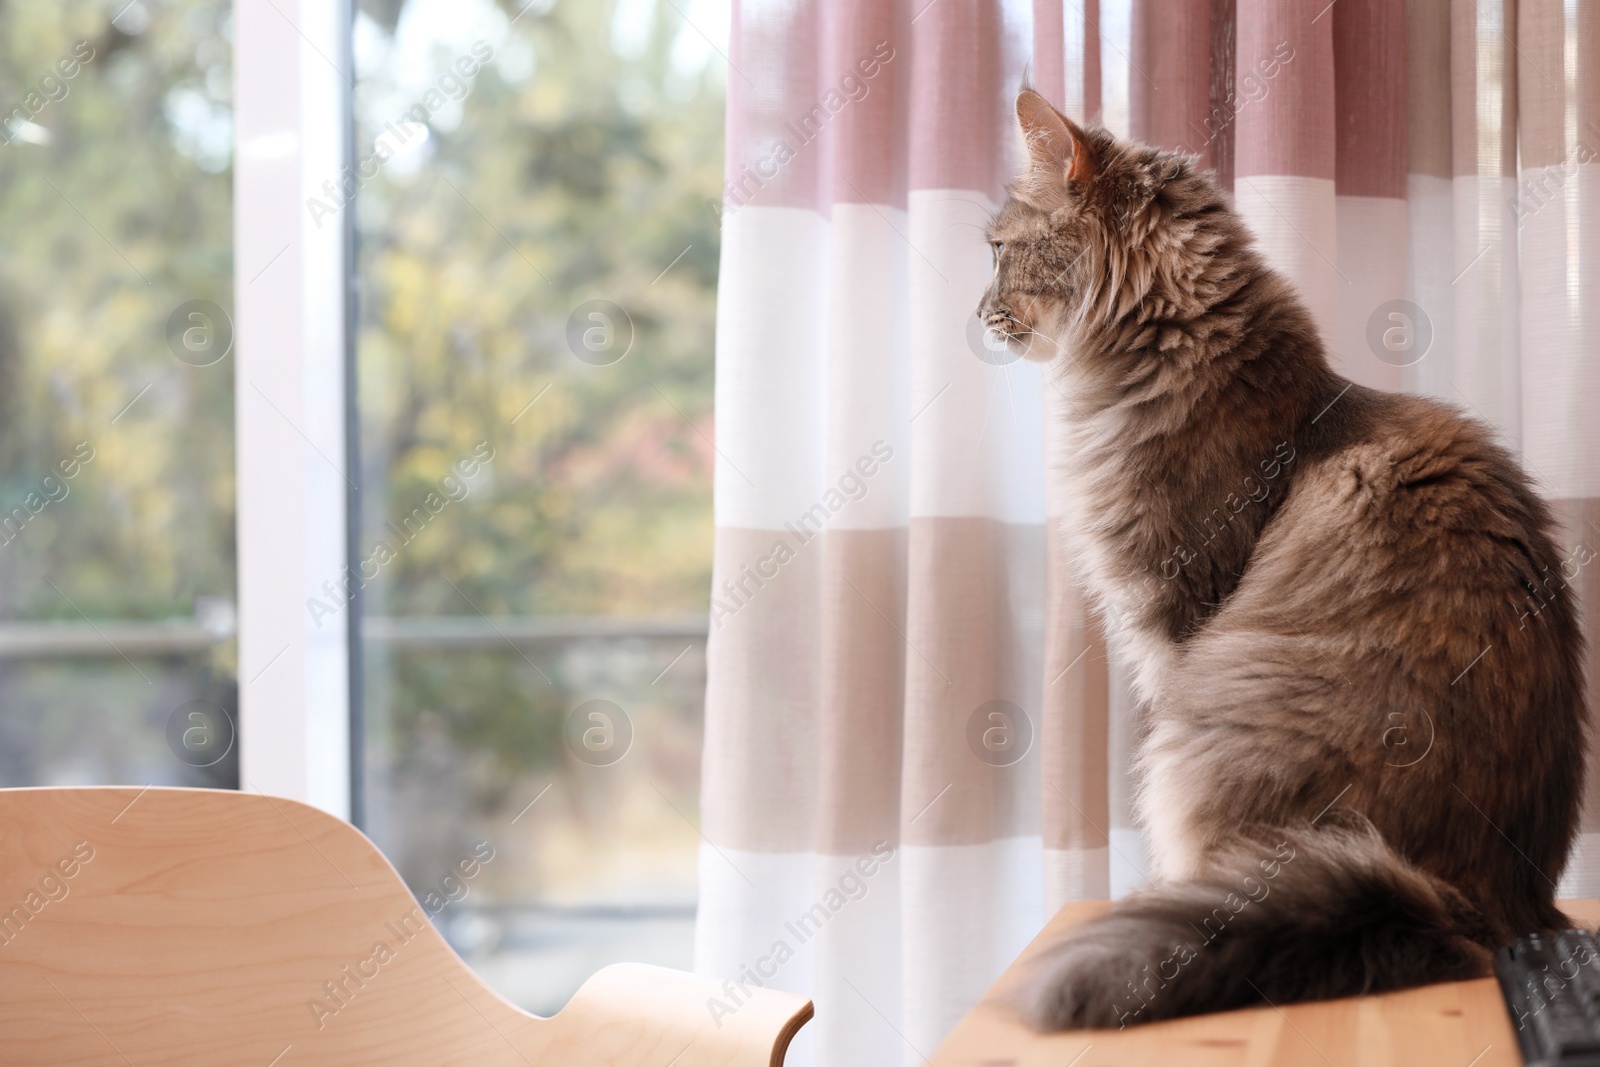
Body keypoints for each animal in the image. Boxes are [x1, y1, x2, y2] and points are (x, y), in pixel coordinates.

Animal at [979, 89, 1593, 1023]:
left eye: (997, 250)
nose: (978, 314)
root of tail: (1494, 910)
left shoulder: (1175, 607)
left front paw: (1170, 887)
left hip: (1212, 737)